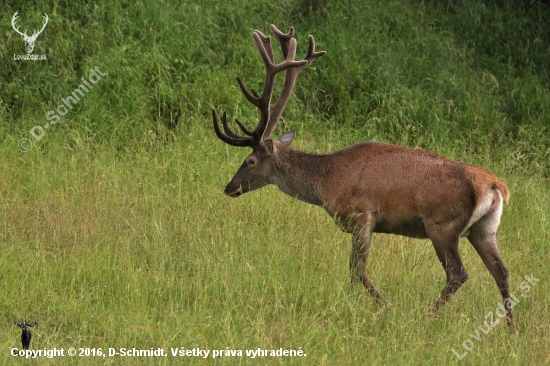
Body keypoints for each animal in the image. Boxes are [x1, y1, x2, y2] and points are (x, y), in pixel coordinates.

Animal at [212, 22, 516, 332]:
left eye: (249, 160)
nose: (229, 187)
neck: (326, 181)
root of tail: (495, 187)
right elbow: (354, 271)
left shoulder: (361, 216)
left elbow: (357, 270)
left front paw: (383, 306)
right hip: (485, 229)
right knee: (501, 272)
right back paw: (511, 329)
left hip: (442, 224)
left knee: (458, 273)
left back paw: (427, 317)